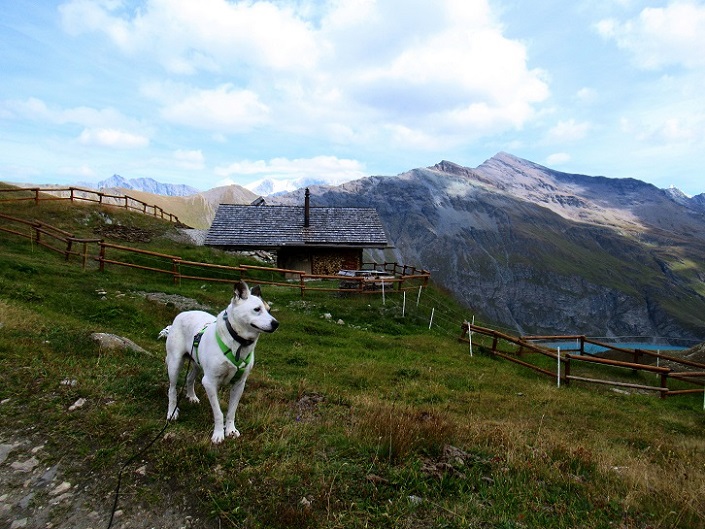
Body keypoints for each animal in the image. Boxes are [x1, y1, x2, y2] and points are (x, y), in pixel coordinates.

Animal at [160, 280, 279, 443]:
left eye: (269, 309)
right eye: (257, 309)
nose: (276, 324)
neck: (238, 343)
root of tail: (182, 314)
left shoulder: (239, 384)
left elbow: (231, 412)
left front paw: (230, 430)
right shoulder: (210, 382)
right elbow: (218, 413)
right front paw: (218, 434)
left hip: (197, 364)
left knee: (190, 378)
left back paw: (192, 397)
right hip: (174, 363)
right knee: (171, 389)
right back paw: (172, 412)